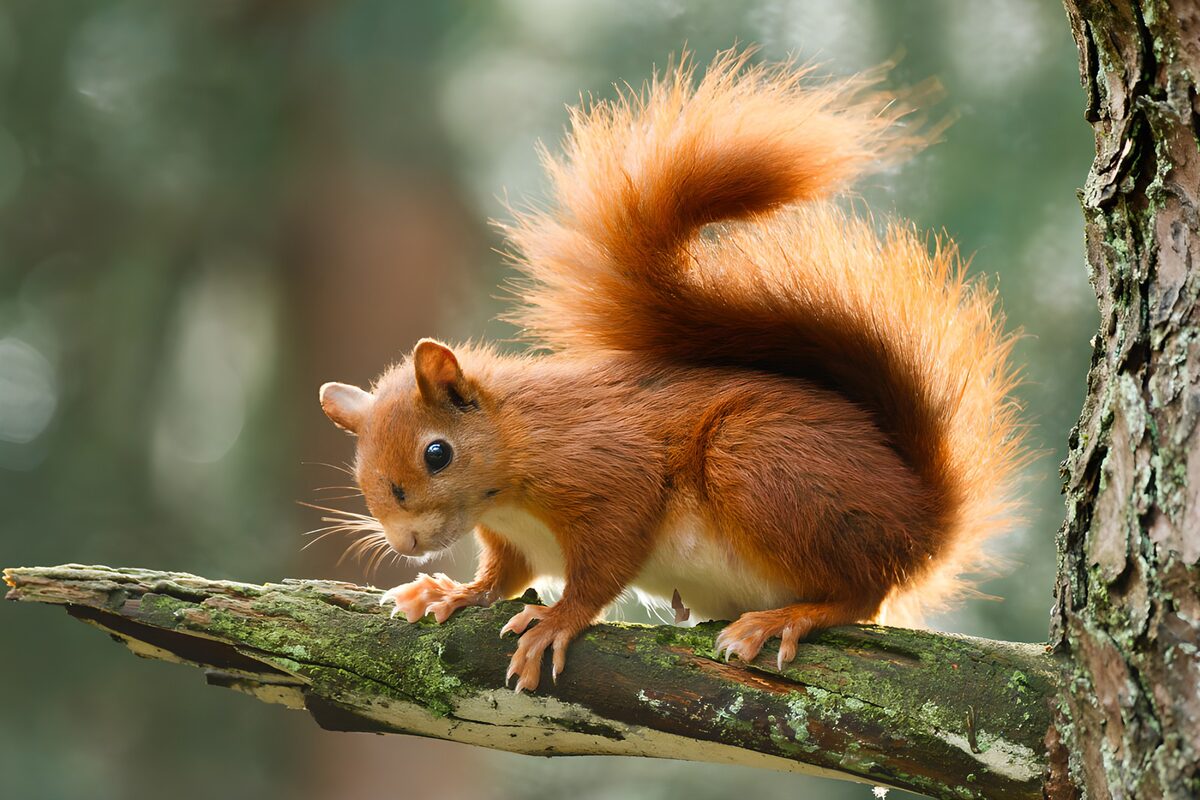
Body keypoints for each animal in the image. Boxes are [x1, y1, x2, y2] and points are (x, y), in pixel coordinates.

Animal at [318, 50, 1026, 692]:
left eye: (437, 453)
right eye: (359, 473)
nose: (406, 543)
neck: (515, 460)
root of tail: (920, 521)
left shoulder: (608, 471)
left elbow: (604, 564)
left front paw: (555, 621)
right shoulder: (512, 538)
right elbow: (505, 577)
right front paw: (453, 591)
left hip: (761, 462)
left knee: (864, 595)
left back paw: (782, 619)